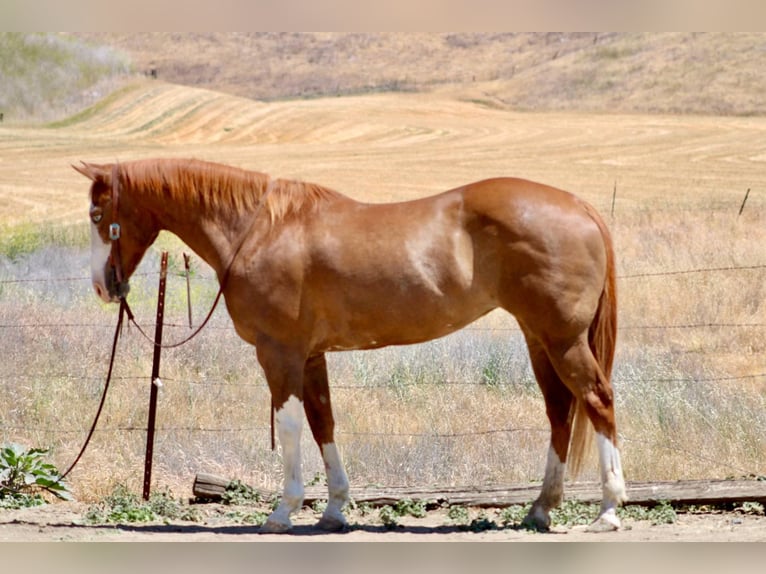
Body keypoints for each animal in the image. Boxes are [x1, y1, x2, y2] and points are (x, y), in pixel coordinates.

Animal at [74, 157, 626, 533]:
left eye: (99, 213)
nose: (102, 287)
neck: (260, 230)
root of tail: (580, 206)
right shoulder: (311, 355)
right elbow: (324, 422)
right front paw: (335, 509)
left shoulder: (279, 353)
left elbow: (291, 425)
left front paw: (283, 510)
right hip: (539, 338)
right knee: (560, 411)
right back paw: (540, 509)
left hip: (562, 338)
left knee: (597, 401)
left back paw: (608, 510)